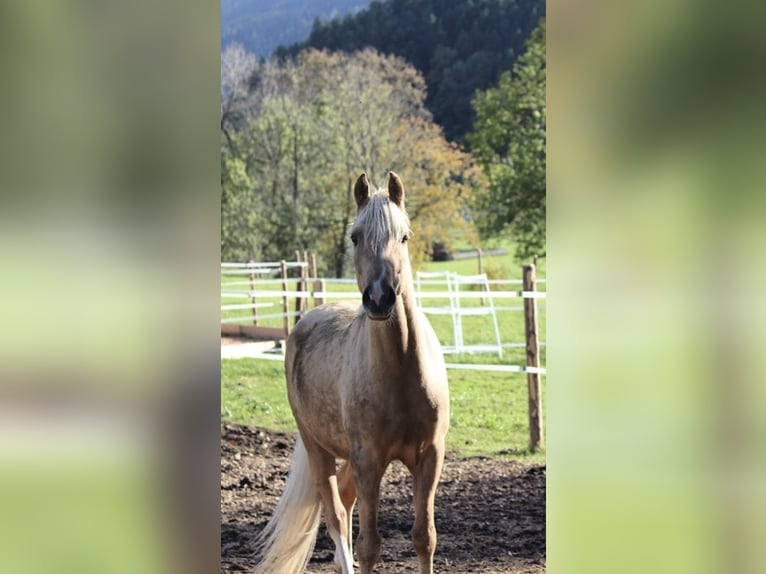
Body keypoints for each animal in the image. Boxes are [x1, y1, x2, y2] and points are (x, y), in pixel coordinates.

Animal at [255, 172, 452, 574]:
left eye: (404, 236)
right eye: (355, 236)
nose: (379, 298)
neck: (403, 374)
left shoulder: (430, 457)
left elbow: (424, 537)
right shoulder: (368, 461)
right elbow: (368, 546)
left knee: (343, 506)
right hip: (318, 449)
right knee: (335, 515)